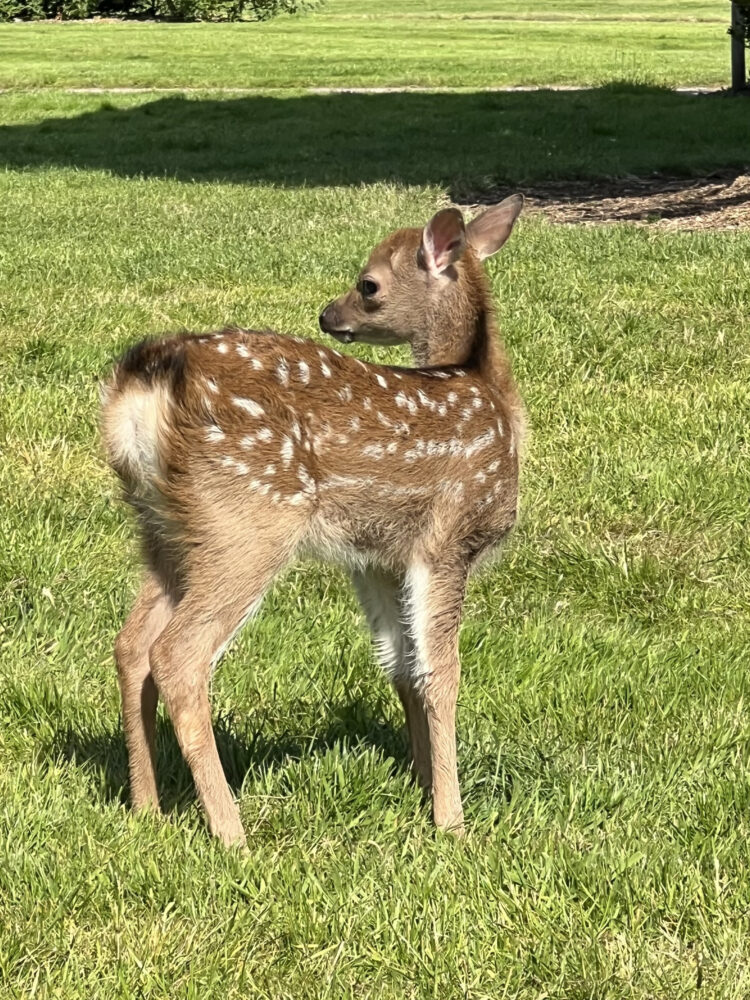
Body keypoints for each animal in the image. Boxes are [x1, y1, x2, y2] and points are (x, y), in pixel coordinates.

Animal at [104, 193, 528, 844]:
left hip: (164, 532)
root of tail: (141, 390)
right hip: (247, 519)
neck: (488, 390)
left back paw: (146, 808)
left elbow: (401, 666)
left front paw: (423, 784)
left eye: (368, 284)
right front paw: (452, 821)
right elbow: (442, 673)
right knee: (177, 655)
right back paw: (232, 832)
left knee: (131, 644)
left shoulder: (378, 558)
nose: (329, 315)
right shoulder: (448, 539)